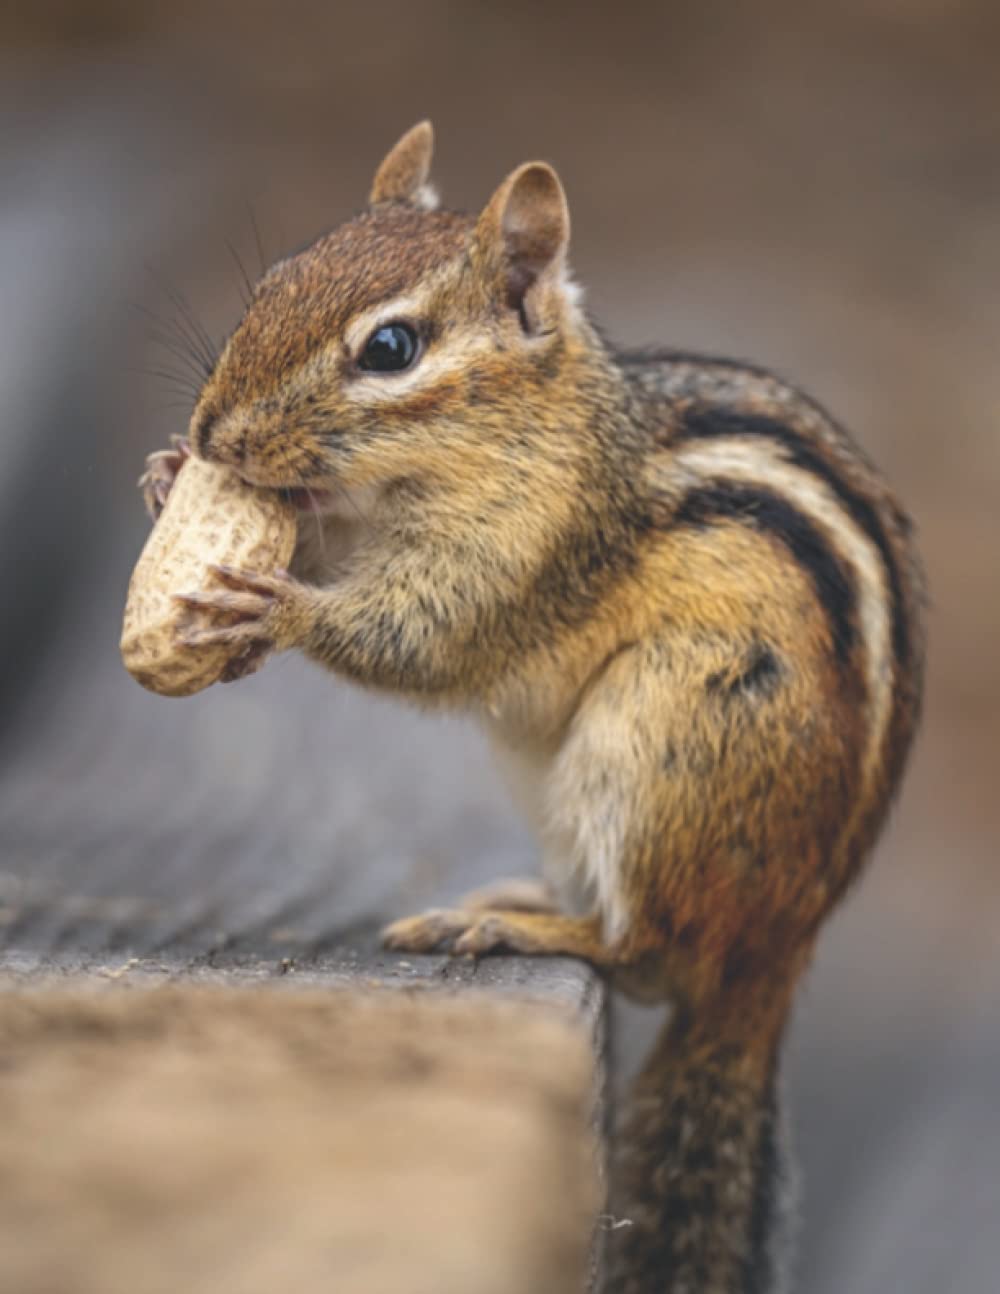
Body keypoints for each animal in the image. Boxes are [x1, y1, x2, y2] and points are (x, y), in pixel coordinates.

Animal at [140, 122, 926, 1293]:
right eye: (275, 278)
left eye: (390, 349)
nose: (214, 433)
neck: (527, 426)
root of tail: (779, 951)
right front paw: (165, 474)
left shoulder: (530, 550)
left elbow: (423, 637)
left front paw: (275, 603)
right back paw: (522, 894)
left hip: (660, 742)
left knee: (645, 951)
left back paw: (512, 924)